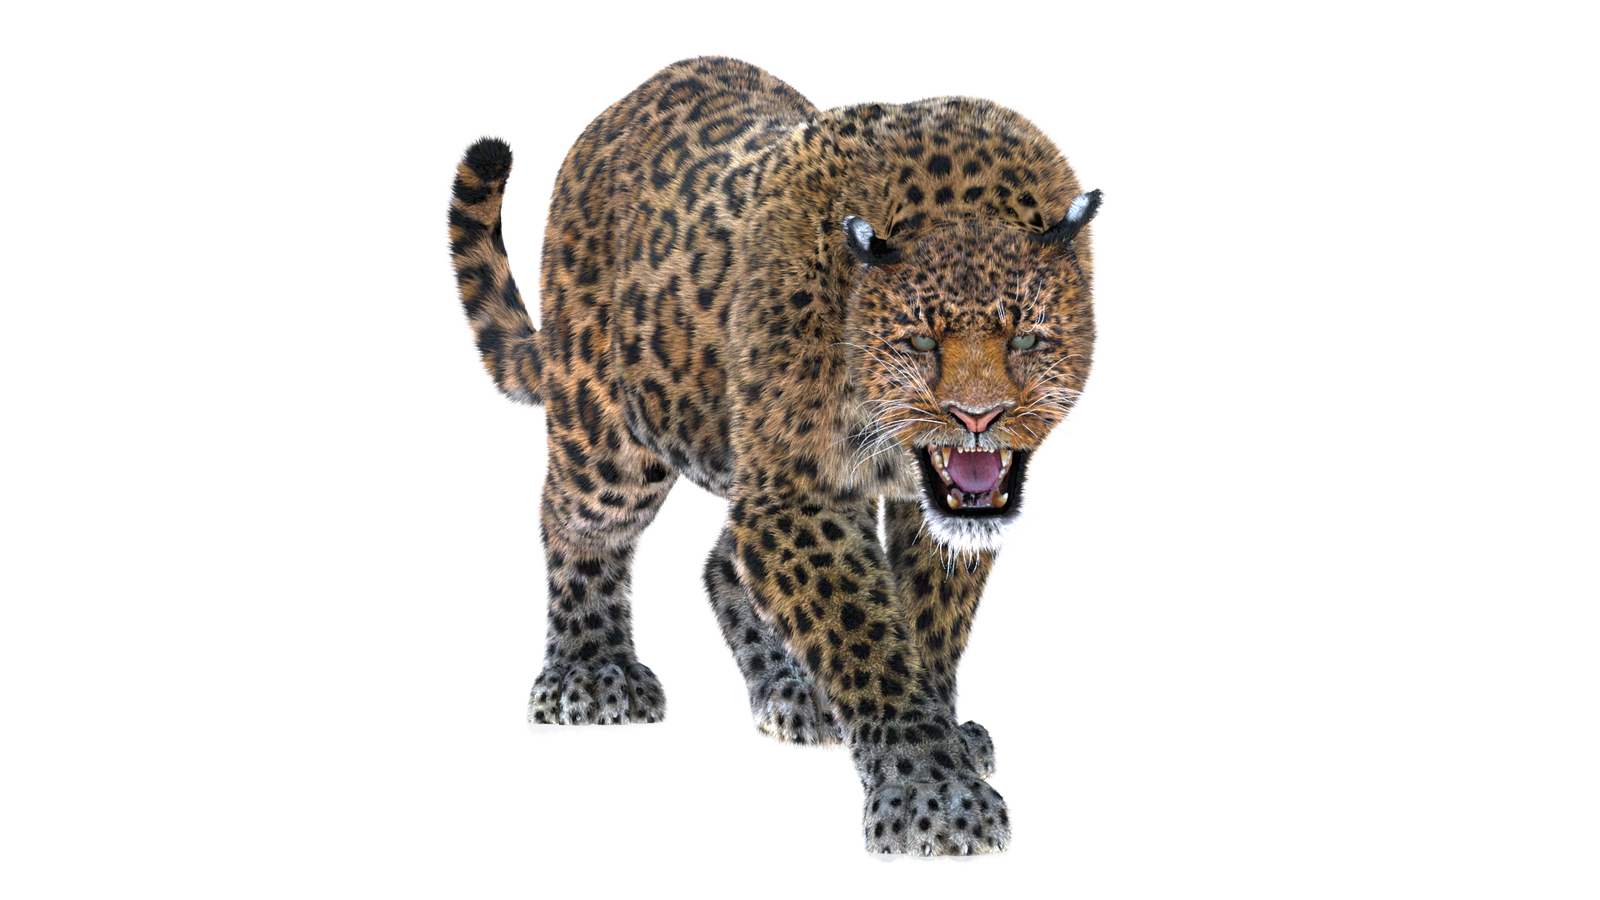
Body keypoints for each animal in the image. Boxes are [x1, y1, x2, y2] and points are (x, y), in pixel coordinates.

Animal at [438, 51, 1113, 866]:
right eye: (920, 341)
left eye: (1028, 338)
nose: (976, 419)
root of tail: (617, 110)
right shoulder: (797, 490)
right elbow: (863, 633)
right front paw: (932, 796)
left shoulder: (918, 510)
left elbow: (928, 623)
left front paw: (943, 739)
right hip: (607, 430)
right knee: (576, 524)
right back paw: (591, 674)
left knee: (720, 559)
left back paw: (794, 695)